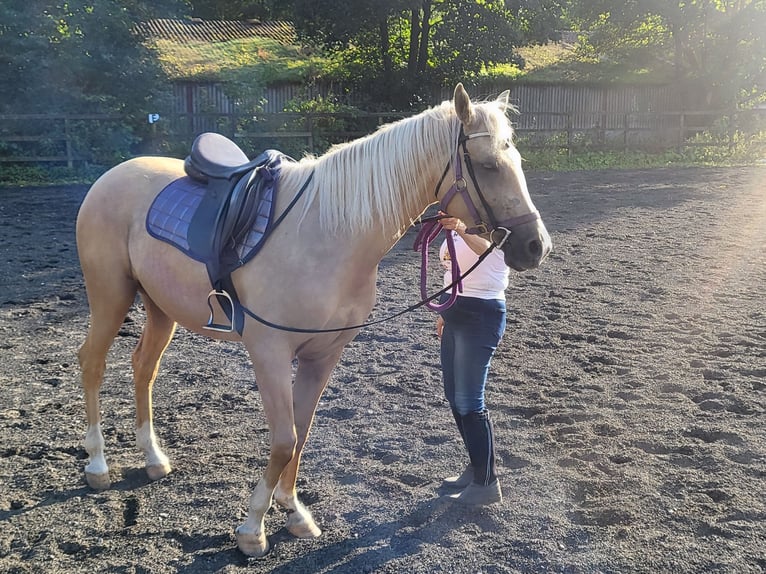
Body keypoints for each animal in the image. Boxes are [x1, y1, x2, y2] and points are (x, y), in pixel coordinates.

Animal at [75, 83, 552, 557]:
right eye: (488, 166)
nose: (537, 246)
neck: (328, 233)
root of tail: (113, 176)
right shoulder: (269, 351)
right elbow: (284, 439)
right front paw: (253, 528)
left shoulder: (323, 354)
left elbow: (300, 433)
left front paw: (294, 512)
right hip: (110, 296)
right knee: (92, 362)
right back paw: (97, 464)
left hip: (160, 308)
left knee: (143, 368)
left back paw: (153, 459)